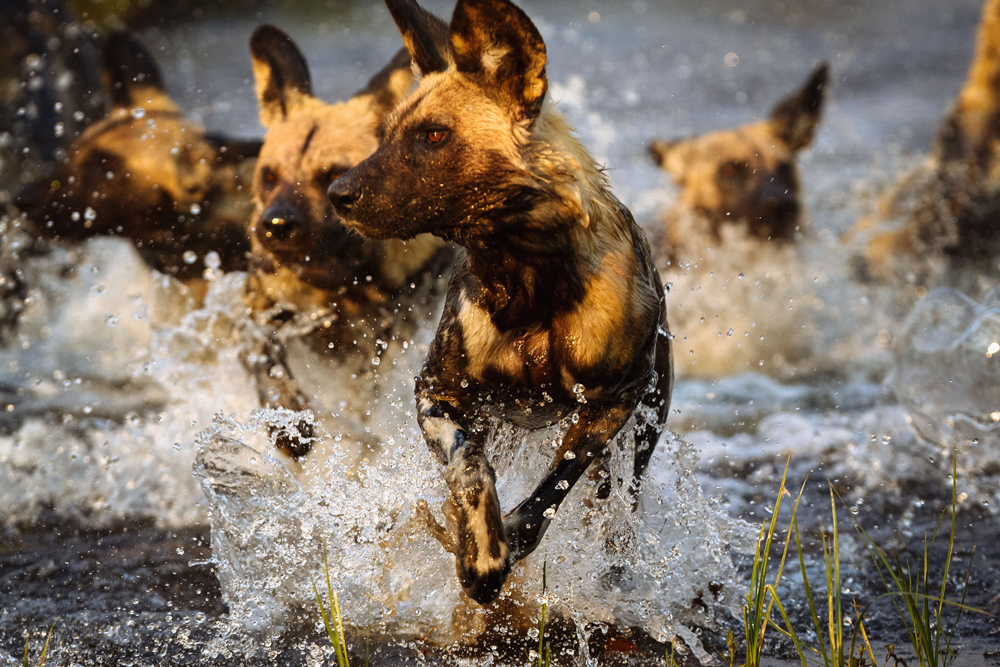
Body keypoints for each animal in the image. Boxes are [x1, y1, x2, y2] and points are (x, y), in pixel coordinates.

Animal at [242, 26, 450, 460]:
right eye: (269, 176)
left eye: (331, 175)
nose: (276, 224)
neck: (334, 278)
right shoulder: (255, 318)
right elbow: (269, 369)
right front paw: (288, 424)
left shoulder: (378, 351)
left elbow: (359, 412)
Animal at [328, 0, 672, 604]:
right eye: (386, 135)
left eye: (434, 135)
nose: (336, 194)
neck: (528, 285)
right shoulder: (439, 394)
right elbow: (468, 467)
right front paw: (482, 550)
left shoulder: (612, 404)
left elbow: (550, 493)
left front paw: (509, 539)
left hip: (637, 441)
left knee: (614, 511)